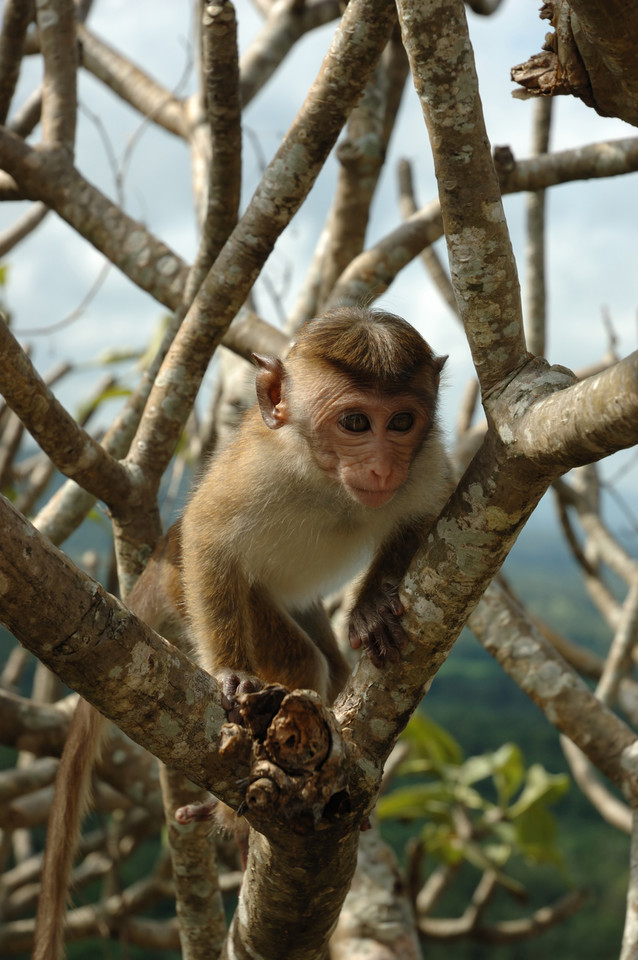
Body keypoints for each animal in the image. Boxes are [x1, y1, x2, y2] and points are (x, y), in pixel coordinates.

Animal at [33, 306, 450, 952]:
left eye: (402, 421)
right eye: (356, 422)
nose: (383, 465)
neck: (326, 482)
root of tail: (158, 555)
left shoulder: (425, 464)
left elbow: (427, 514)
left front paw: (372, 603)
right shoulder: (258, 471)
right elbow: (210, 536)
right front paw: (232, 672)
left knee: (329, 665)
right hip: (192, 588)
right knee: (301, 658)